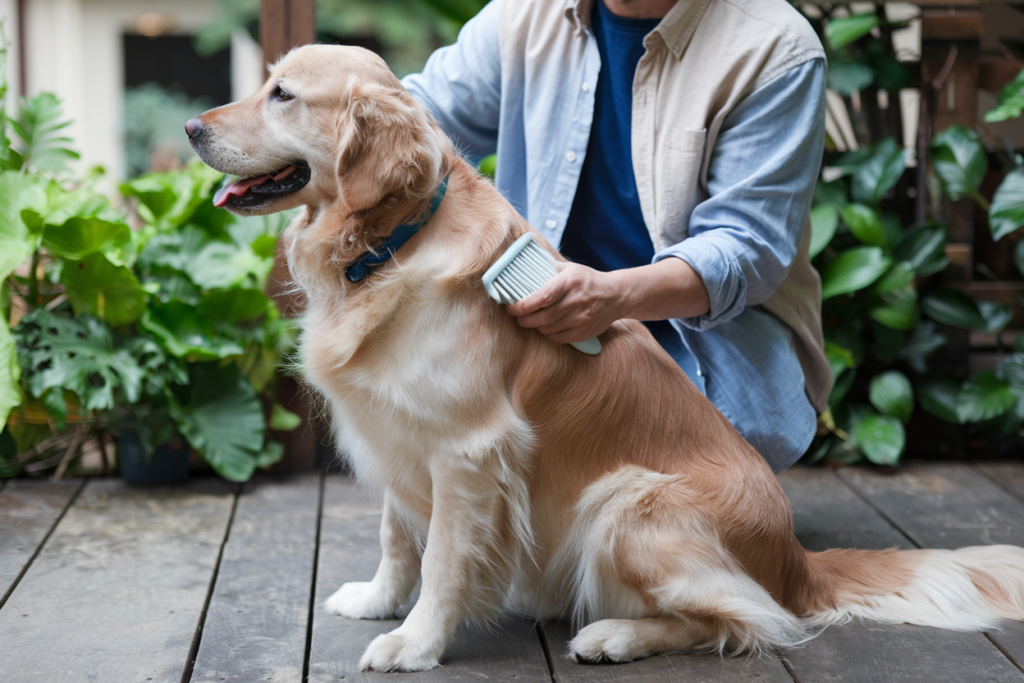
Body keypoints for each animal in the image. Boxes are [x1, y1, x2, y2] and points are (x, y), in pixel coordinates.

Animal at [190, 46, 1024, 671]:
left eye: (282, 94)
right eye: (264, 83)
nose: (195, 127)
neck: (391, 243)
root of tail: (795, 560)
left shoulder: (467, 447)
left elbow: (444, 560)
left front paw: (415, 640)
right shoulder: (399, 424)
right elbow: (399, 535)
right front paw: (376, 599)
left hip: (626, 501)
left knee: (744, 619)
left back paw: (613, 633)